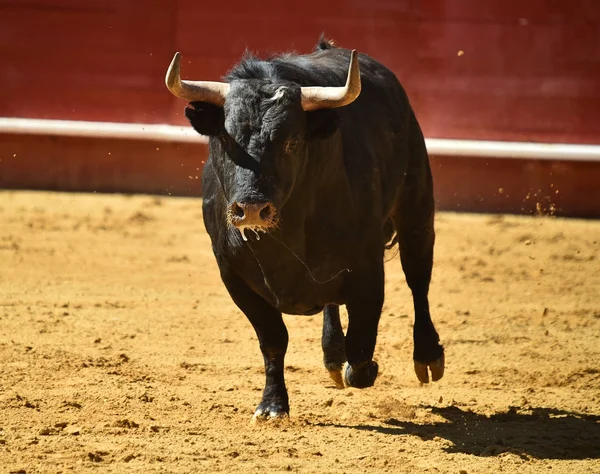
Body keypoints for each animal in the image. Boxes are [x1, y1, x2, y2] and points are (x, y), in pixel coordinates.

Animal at [166, 38, 442, 422]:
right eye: (225, 138)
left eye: (292, 142)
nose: (252, 208)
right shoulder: (233, 275)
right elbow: (273, 340)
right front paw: (272, 405)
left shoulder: (367, 269)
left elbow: (362, 343)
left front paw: (364, 370)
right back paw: (332, 356)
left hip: (417, 208)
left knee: (418, 279)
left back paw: (427, 357)